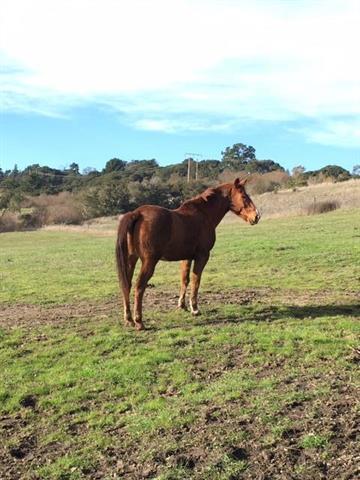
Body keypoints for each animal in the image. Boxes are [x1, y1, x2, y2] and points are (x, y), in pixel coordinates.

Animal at [116, 177, 260, 330]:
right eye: (244, 196)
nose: (256, 216)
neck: (203, 214)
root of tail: (137, 213)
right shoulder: (202, 256)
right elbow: (196, 280)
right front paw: (194, 308)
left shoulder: (186, 258)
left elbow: (185, 279)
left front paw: (182, 305)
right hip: (149, 262)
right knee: (139, 287)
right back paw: (139, 321)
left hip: (131, 260)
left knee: (126, 285)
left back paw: (129, 319)